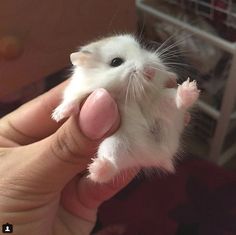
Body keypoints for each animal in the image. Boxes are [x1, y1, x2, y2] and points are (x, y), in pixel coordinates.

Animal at [51, 34, 199, 183]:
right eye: (116, 62)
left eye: (142, 48)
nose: (150, 72)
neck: (130, 94)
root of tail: (159, 155)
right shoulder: (78, 90)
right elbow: (71, 100)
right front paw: (57, 116)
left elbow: (165, 75)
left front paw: (172, 76)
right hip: (117, 143)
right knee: (111, 165)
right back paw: (96, 168)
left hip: (163, 102)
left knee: (176, 102)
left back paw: (189, 89)